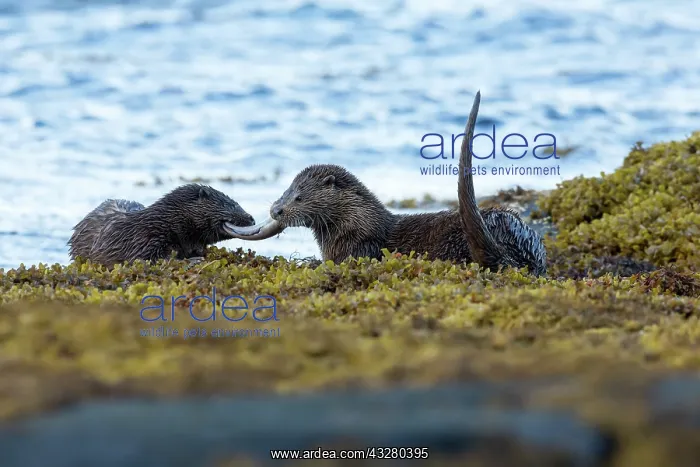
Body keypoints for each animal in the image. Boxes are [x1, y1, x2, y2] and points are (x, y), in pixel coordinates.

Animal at [68, 184, 255, 267]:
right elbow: (149, 259)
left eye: (236, 202)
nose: (251, 218)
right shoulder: (143, 240)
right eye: (231, 204)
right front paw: (193, 260)